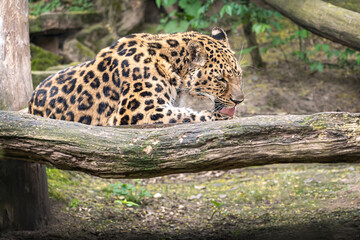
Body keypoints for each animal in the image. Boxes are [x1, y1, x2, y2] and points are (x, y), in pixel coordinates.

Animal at [28, 27, 245, 125]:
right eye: (221, 79)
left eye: (239, 75)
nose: (239, 101)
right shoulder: (137, 111)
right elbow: (186, 115)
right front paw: (217, 116)